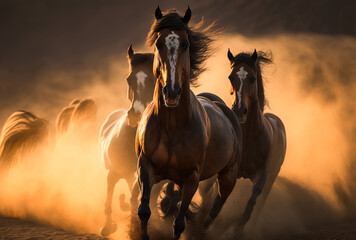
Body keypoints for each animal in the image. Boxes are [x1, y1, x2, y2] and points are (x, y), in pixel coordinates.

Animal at [99, 44, 156, 236]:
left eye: (153, 79)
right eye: (129, 79)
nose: (136, 115)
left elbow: (134, 200)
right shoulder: (113, 172)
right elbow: (108, 199)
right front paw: (106, 227)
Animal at [136, 6, 242, 239]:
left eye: (185, 44)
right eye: (158, 43)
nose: (172, 92)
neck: (172, 127)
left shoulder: (192, 179)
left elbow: (179, 224)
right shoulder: (146, 166)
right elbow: (144, 210)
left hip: (227, 178)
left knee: (212, 212)